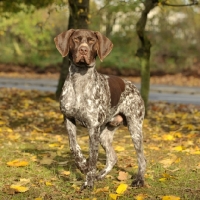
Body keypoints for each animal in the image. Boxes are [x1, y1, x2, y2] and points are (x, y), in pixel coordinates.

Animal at [54, 28, 146, 190]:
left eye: (91, 41)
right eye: (76, 39)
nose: (83, 49)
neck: (80, 80)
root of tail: (133, 86)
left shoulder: (93, 128)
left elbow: (93, 158)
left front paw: (88, 183)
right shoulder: (68, 119)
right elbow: (74, 146)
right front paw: (82, 165)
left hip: (135, 127)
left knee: (142, 158)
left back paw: (139, 180)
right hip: (105, 134)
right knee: (112, 157)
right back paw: (100, 176)